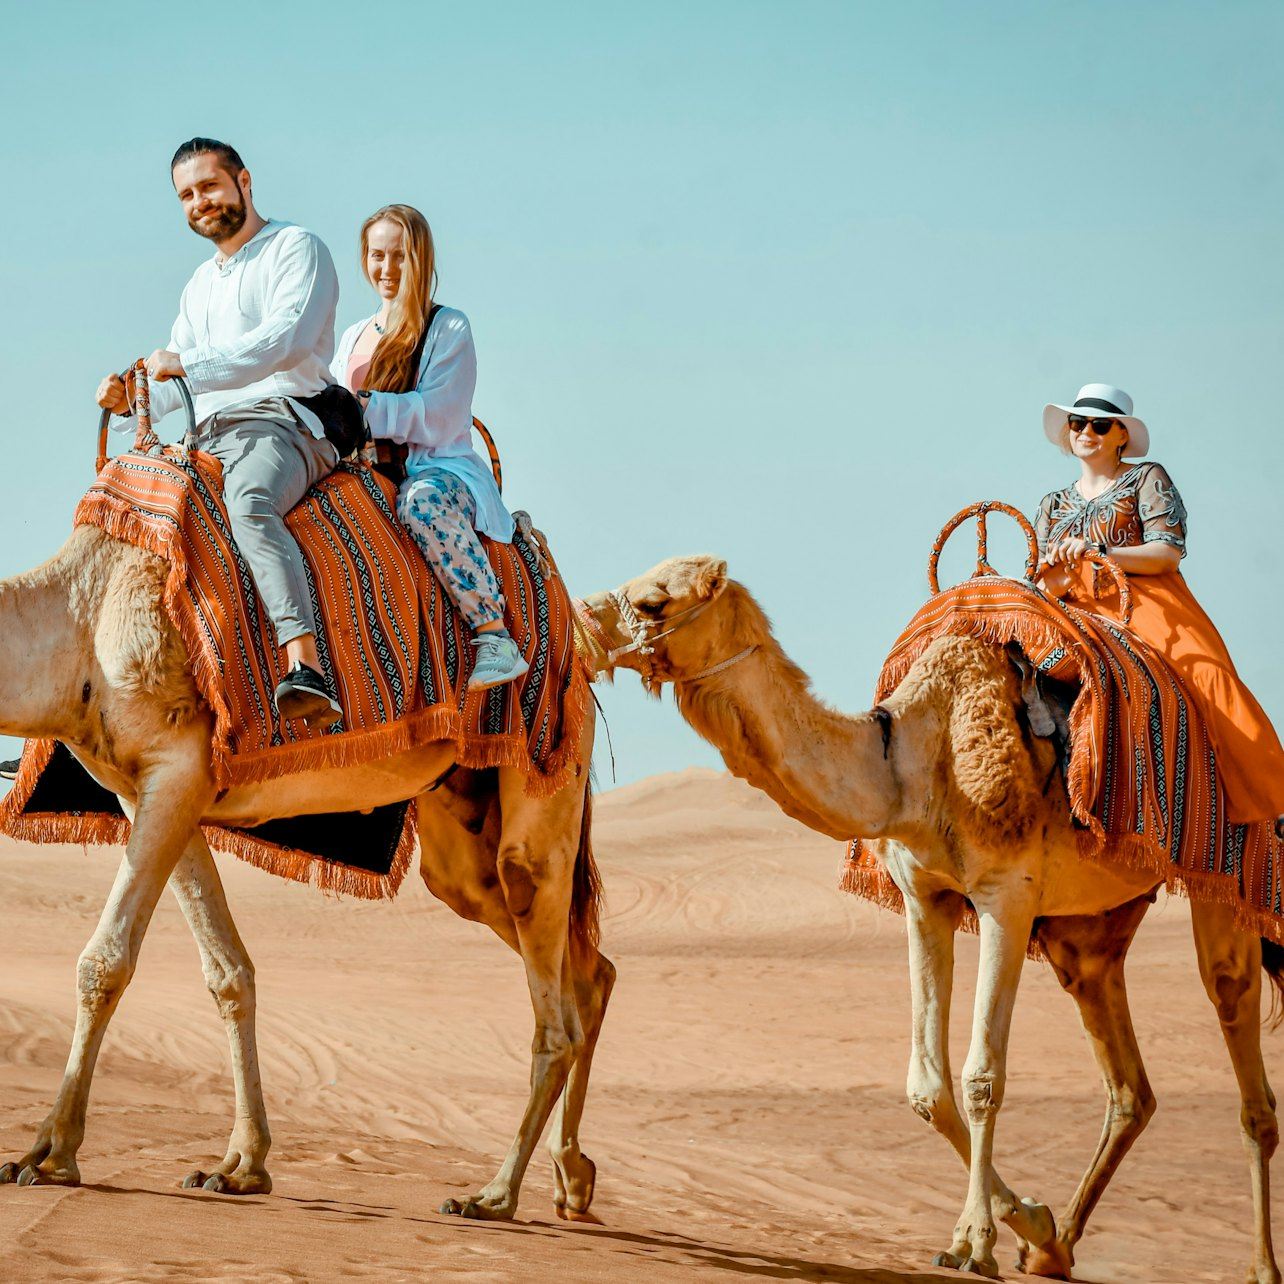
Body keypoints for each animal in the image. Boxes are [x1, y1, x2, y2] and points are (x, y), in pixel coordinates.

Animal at [0, 522, 615, 1224]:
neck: (85, 612)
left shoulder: (177, 767)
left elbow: (104, 964)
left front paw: (47, 1155)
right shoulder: (147, 790)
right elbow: (228, 973)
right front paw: (241, 1166)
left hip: (544, 776)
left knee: (554, 1007)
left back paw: (495, 1195)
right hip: (465, 842)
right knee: (585, 970)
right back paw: (573, 1178)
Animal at [577, 554, 1281, 1283]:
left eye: (654, 602)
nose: (582, 622)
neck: (909, 761)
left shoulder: (1006, 894)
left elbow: (981, 1079)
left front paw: (974, 1241)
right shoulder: (925, 898)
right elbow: (928, 1087)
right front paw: (1029, 1220)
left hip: (1232, 880)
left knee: (1241, 1045)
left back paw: (1260, 1265)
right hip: (1090, 930)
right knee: (1128, 1087)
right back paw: (1055, 1249)